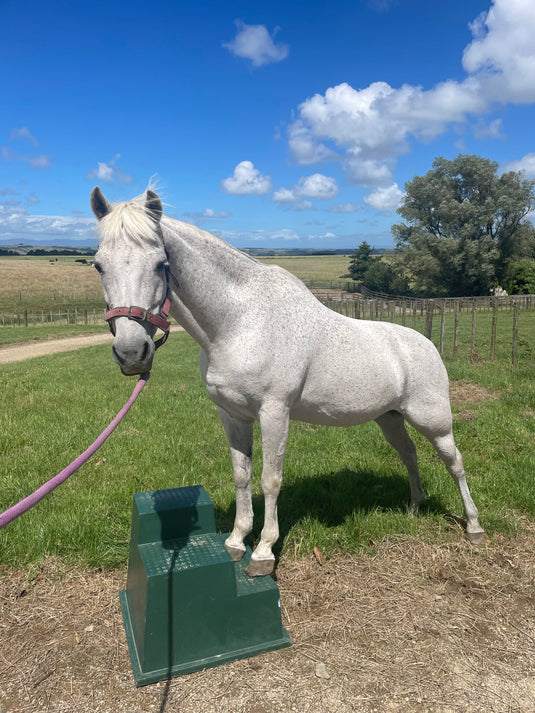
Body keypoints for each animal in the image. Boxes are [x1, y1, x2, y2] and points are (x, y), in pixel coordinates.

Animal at [91, 186, 486, 576]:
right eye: (98, 265)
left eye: (162, 263)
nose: (132, 353)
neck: (239, 322)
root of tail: (425, 344)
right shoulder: (232, 415)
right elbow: (242, 475)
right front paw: (236, 541)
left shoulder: (274, 412)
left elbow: (270, 479)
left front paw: (263, 552)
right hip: (389, 418)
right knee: (409, 454)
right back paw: (414, 508)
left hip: (433, 420)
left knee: (454, 462)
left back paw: (473, 526)